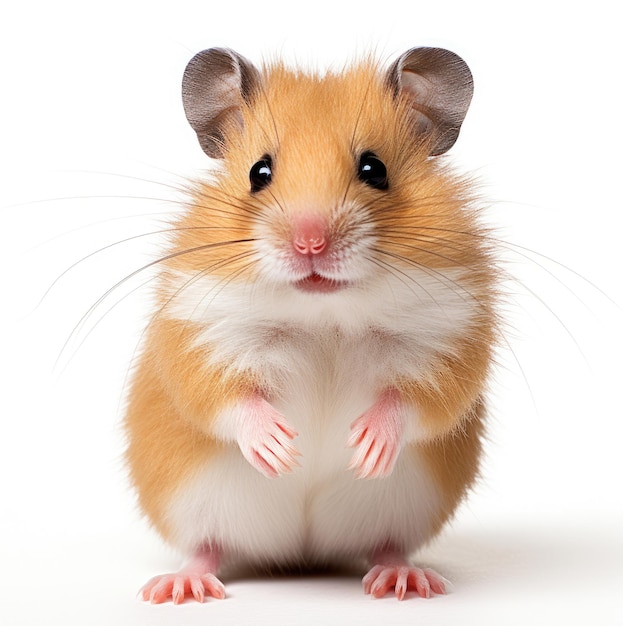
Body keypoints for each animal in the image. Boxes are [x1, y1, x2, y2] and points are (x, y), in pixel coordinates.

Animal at [127, 46, 498, 604]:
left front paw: (364, 448)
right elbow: (228, 400)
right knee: (206, 547)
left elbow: (412, 402)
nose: (310, 243)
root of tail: (302, 555)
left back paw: (404, 580)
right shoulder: (196, 336)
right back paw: (180, 588)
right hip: (194, 507)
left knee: (387, 545)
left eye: (374, 169)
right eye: (258, 171)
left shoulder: (455, 339)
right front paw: (282, 449)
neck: (326, 316)